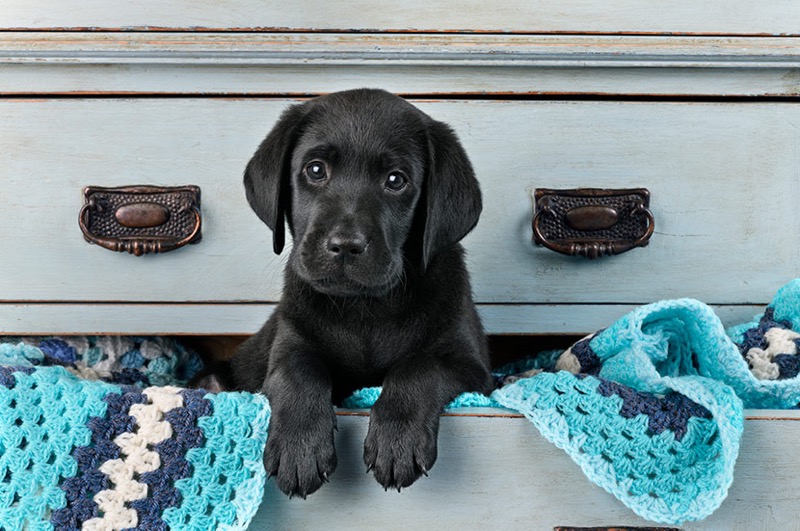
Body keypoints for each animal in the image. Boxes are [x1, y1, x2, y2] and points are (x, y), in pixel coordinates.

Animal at [206, 89, 494, 500]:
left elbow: (421, 365)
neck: (365, 309)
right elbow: (299, 370)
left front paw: (396, 441)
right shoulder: (291, 340)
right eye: (315, 170)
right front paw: (299, 450)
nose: (345, 245)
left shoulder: (472, 367)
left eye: (396, 180)